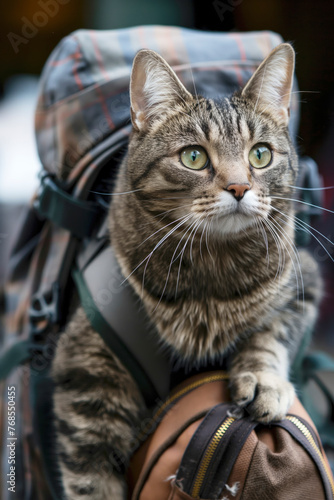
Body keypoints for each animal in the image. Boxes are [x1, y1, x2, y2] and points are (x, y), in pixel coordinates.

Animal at [51, 44, 320, 500]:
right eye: (194, 157)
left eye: (260, 154)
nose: (238, 187)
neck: (213, 264)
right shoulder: (86, 370)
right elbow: (90, 478)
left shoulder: (306, 277)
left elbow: (271, 332)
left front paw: (263, 380)